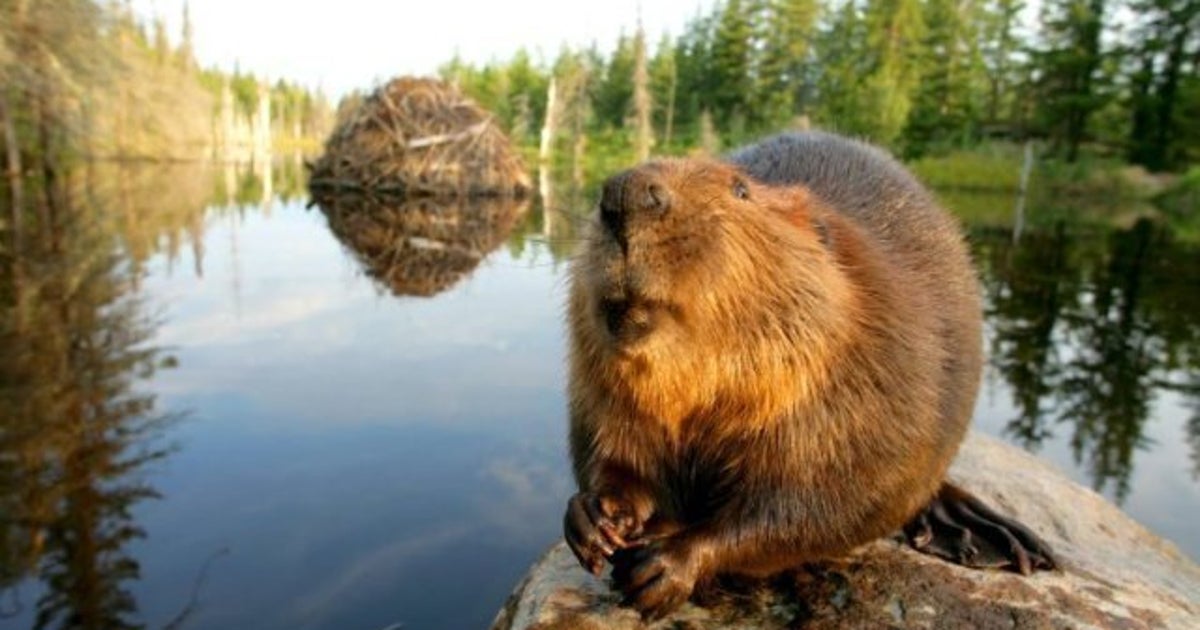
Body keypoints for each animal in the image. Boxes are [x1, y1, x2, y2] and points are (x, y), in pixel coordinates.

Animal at [559, 131, 1051, 619]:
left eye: (741, 189)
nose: (625, 193)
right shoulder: (600, 390)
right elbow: (613, 454)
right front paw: (595, 517)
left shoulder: (870, 384)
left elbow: (819, 505)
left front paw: (667, 567)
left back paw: (989, 536)